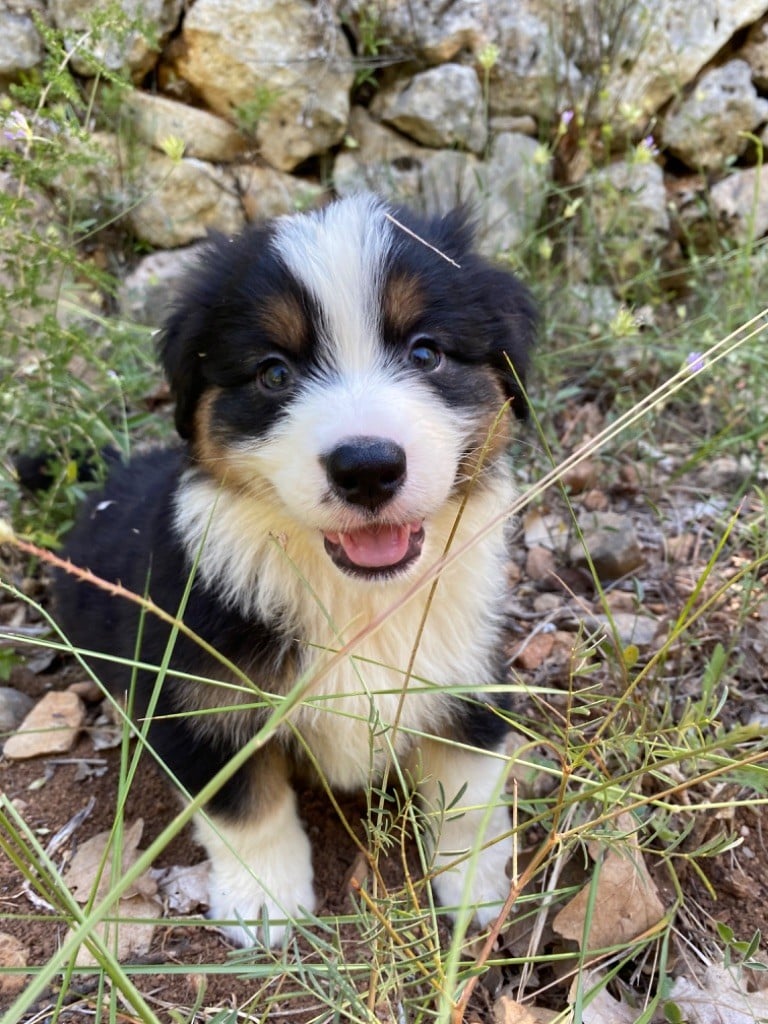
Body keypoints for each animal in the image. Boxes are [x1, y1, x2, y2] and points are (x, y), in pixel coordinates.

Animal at [55, 195, 536, 946]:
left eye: (426, 352)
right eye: (274, 373)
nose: (367, 468)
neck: (353, 596)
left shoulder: (467, 667)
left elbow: (469, 789)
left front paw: (475, 893)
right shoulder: (200, 698)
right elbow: (245, 809)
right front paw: (264, 904)